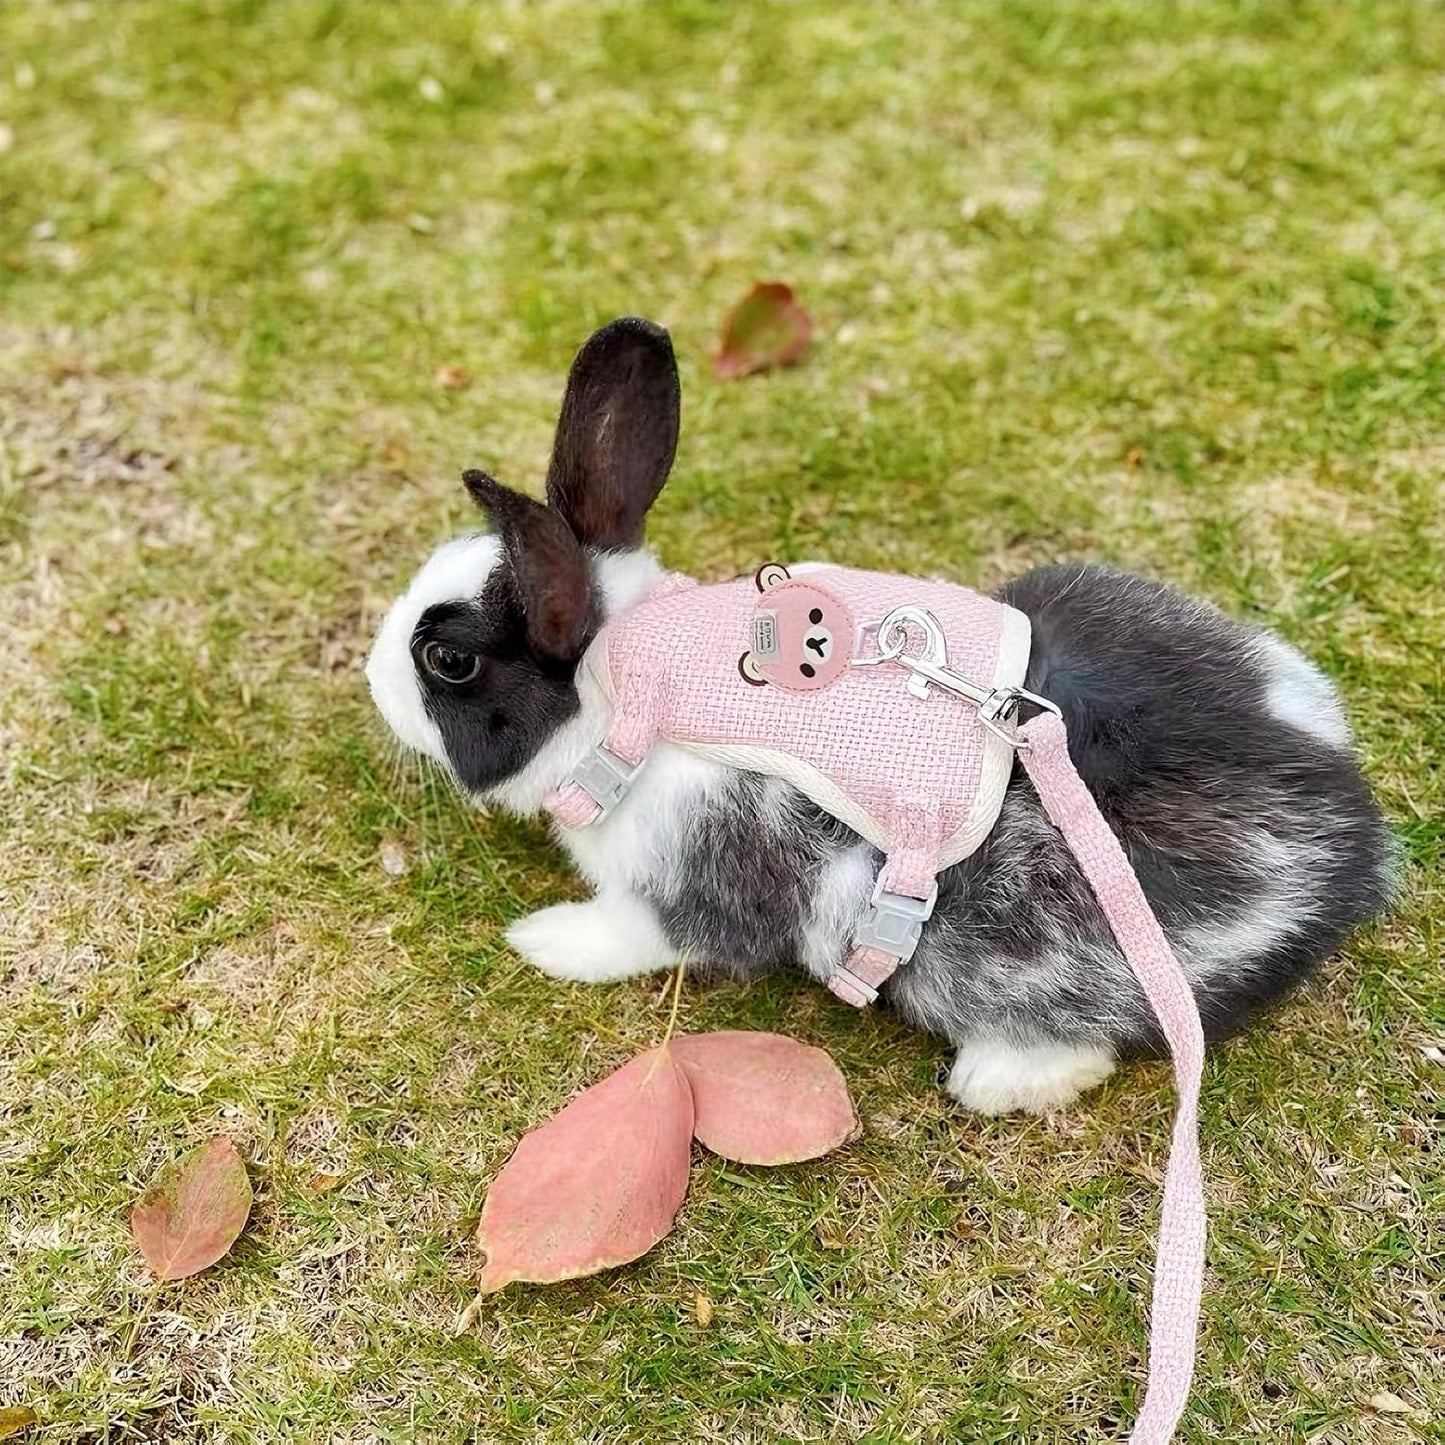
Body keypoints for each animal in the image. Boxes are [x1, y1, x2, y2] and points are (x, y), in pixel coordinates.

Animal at [366, 317, 1395, 1115]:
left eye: (448, 662)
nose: (371, 681)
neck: (634, 692)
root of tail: (1348, 842)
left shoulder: (688, 886)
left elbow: (641, 936)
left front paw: (543, 939)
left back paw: (995, 1079)